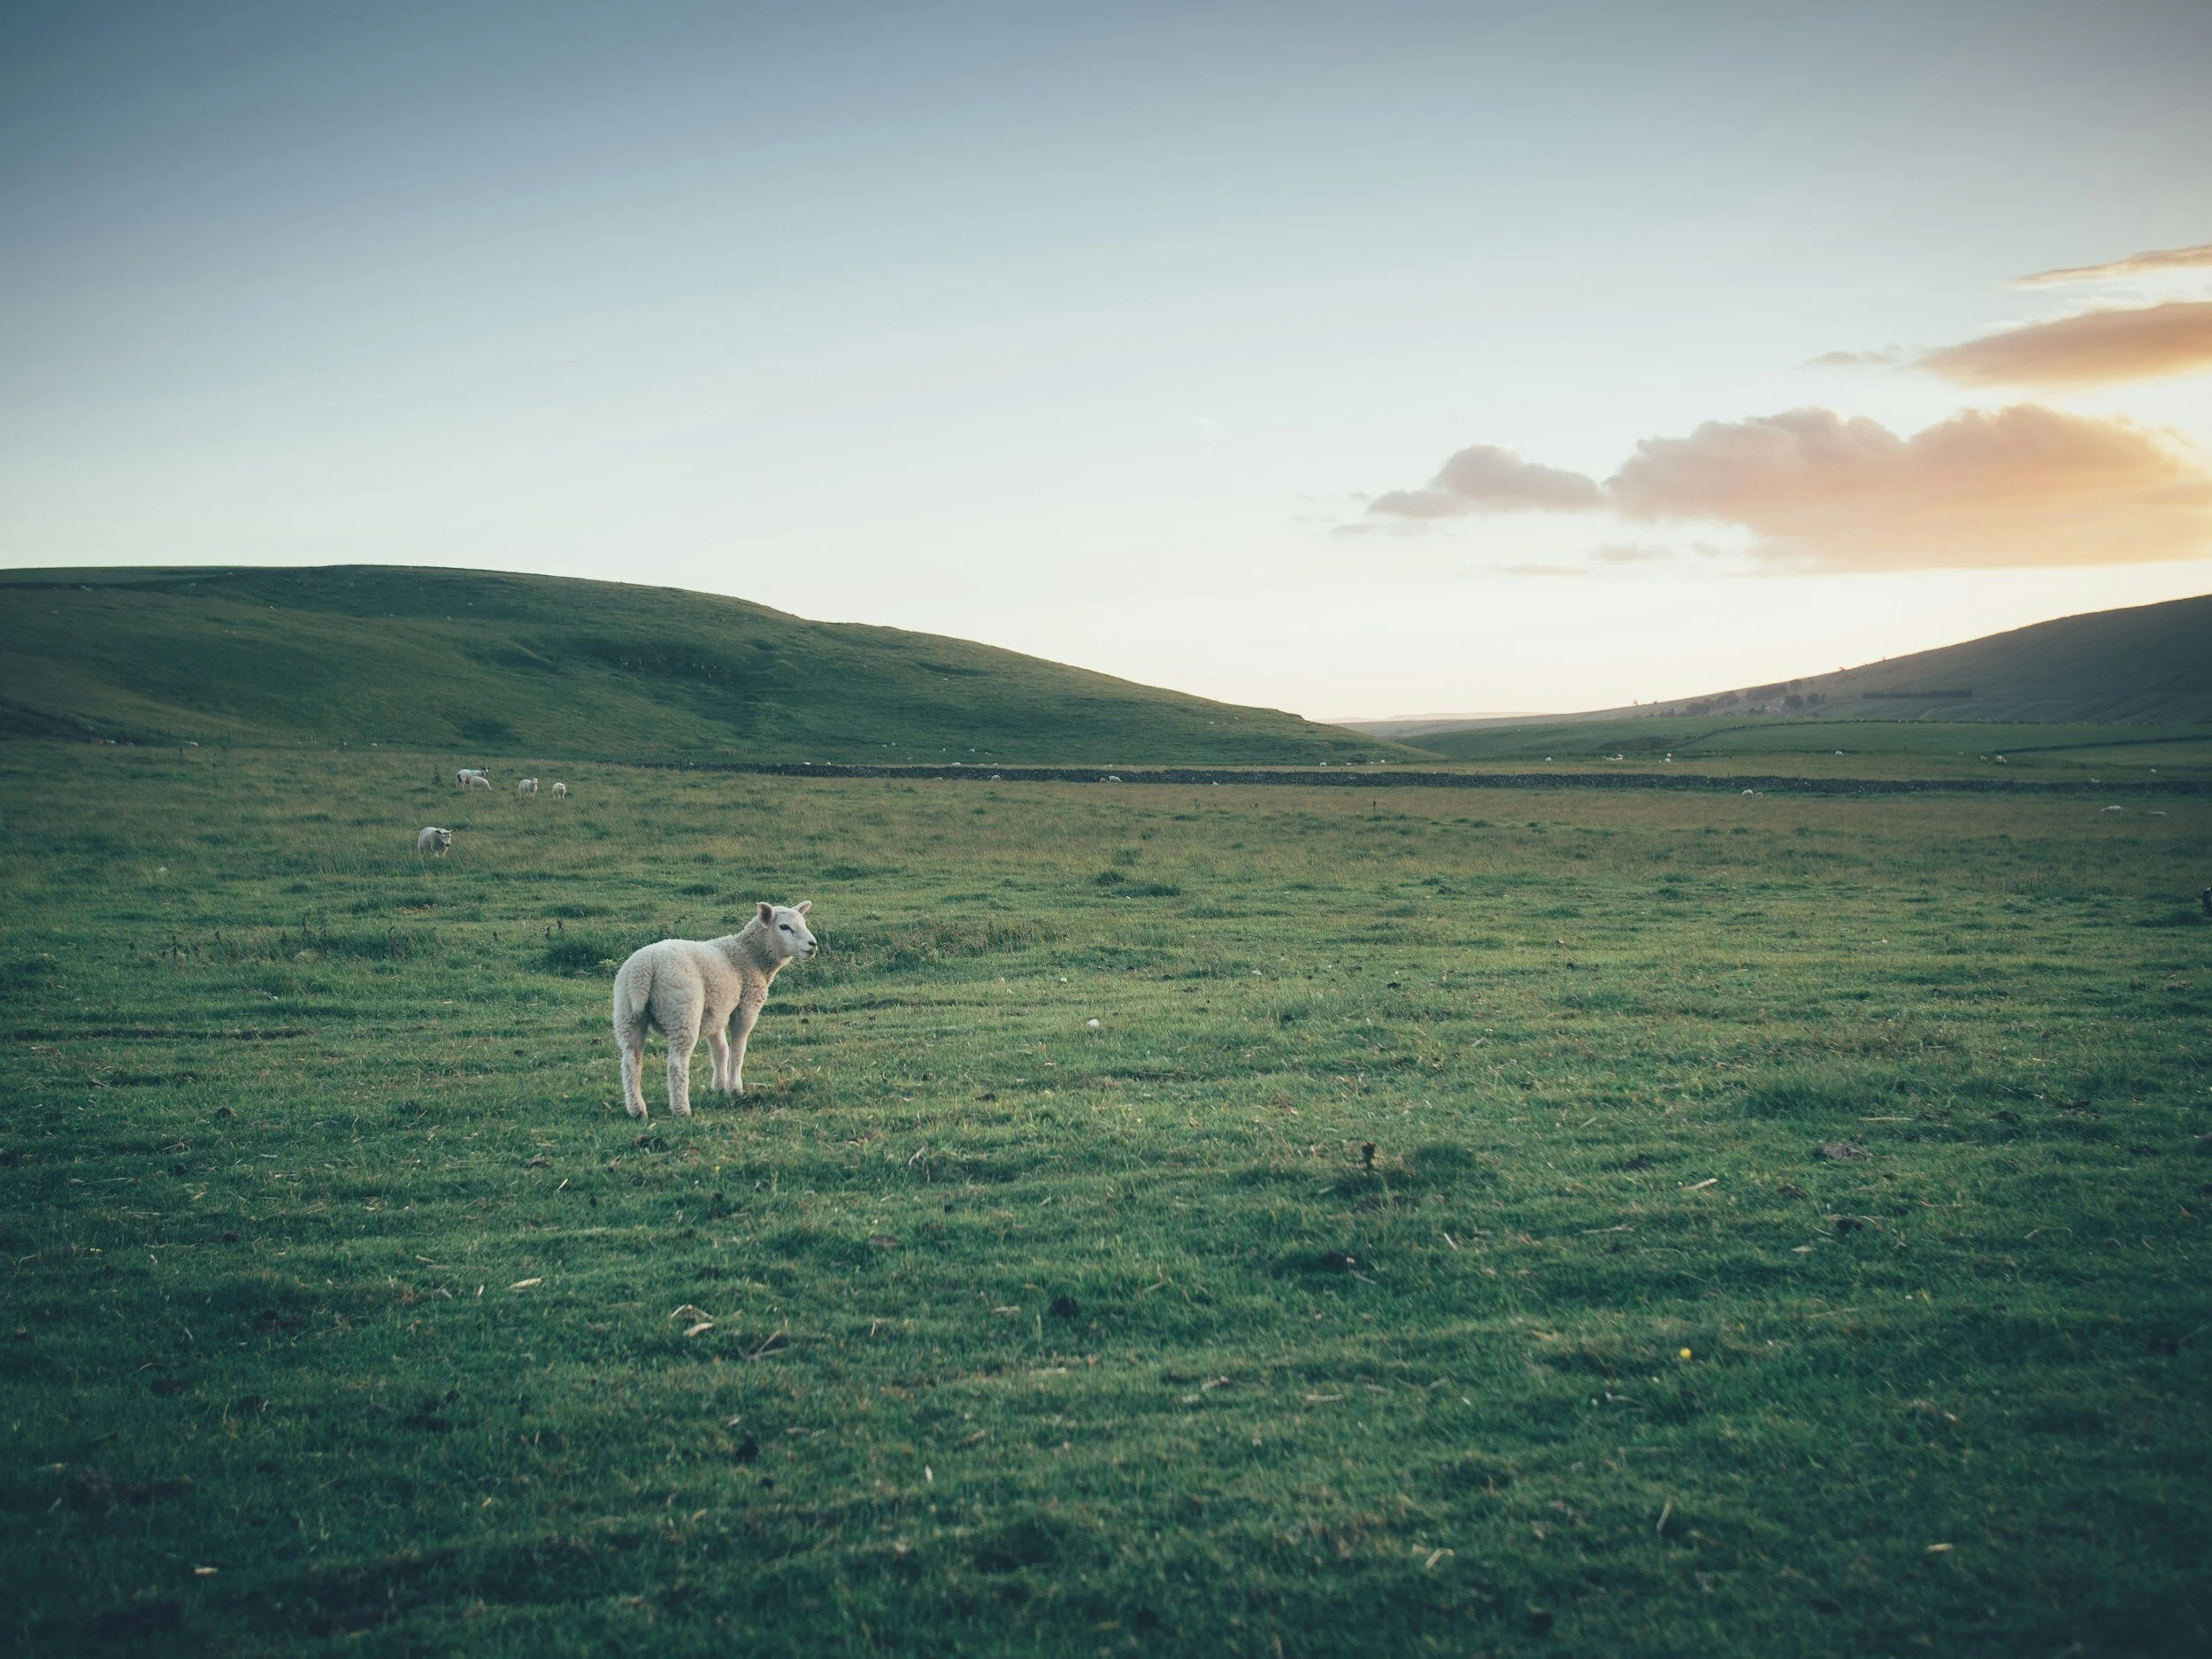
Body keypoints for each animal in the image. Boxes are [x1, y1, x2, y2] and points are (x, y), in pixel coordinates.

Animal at [612, 902, 818, 1121]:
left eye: (803, 923)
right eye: (784, 927)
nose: (813, 944)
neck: (750, 955)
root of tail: (644, 969)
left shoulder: (715, 1011)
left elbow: (720, 1050)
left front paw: (718, 1086)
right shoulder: (746, 1007)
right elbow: (737, 1050)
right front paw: (734, 1089)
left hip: (627, 1012)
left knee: (631, 1060)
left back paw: (637, 1110)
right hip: (682, 1011)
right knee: (677, 1062)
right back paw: (681, 1109)